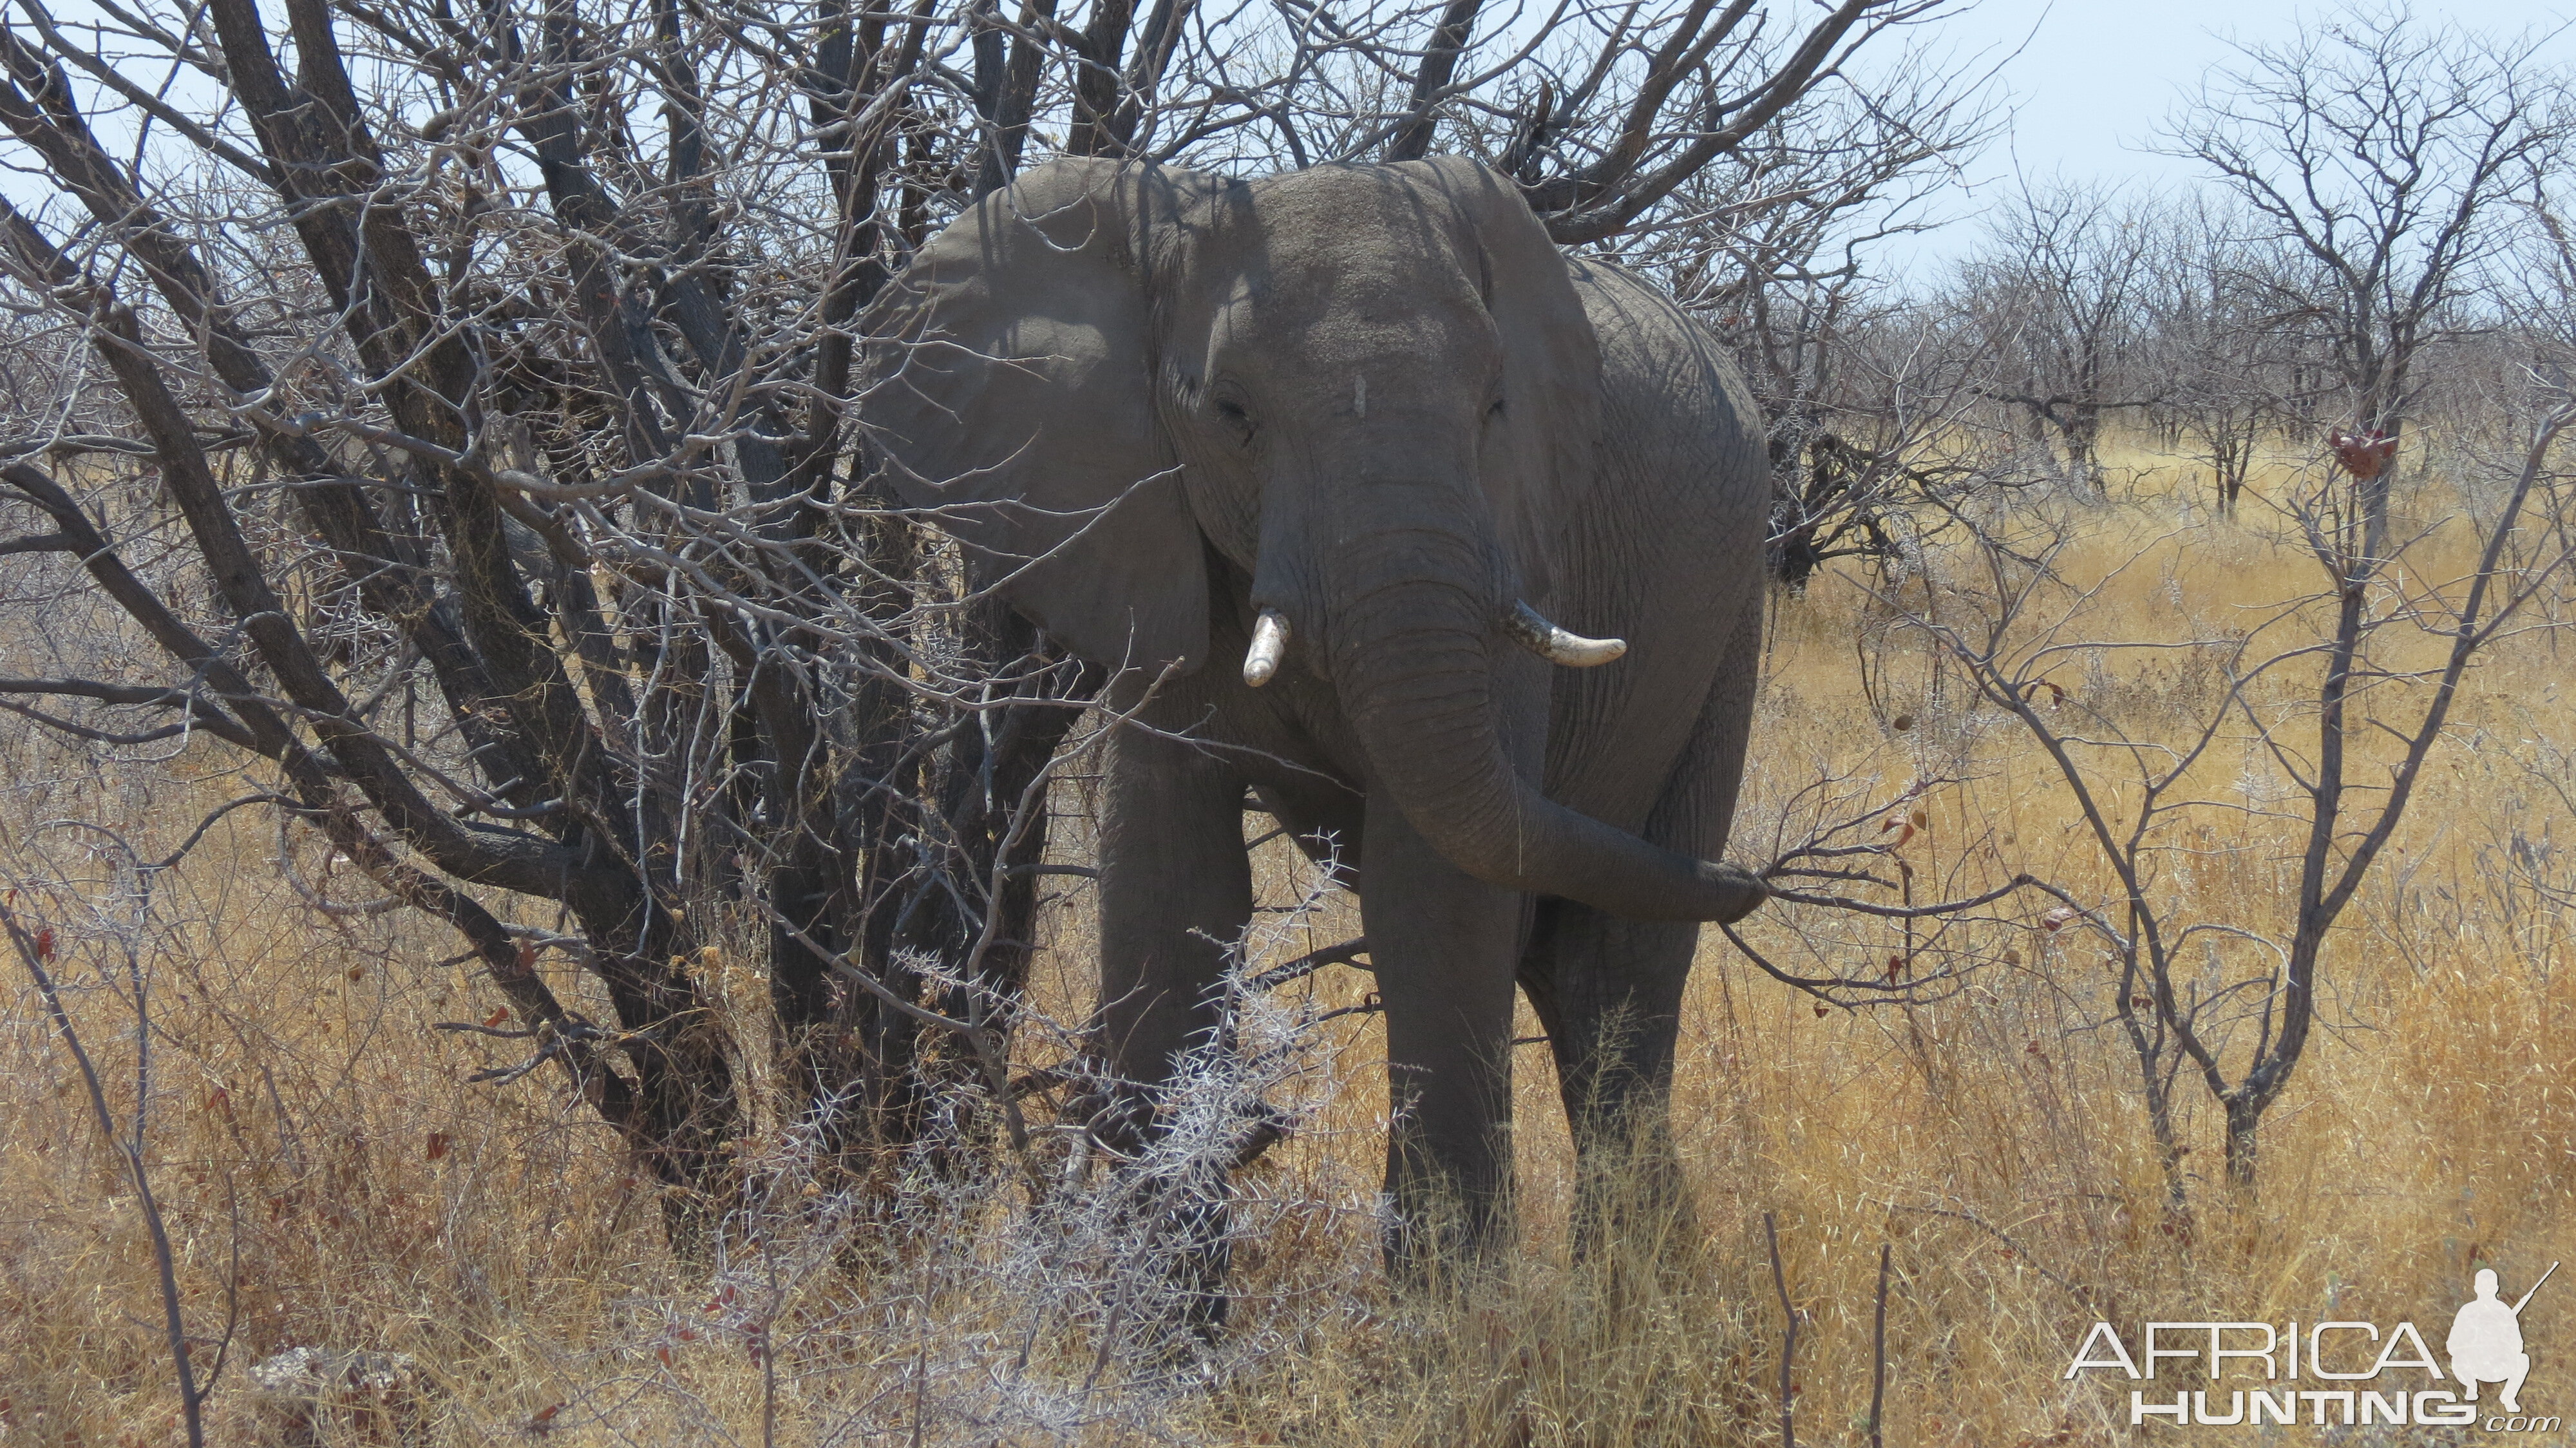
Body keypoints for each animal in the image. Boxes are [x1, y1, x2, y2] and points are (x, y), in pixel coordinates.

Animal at [860, 149, 1772, 1273]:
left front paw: (1451, 1304)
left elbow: (1433, 896)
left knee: (1621, 963)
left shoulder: (1517, 542)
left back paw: (1636, 1285)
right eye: (1231, 412)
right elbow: (1168, 880)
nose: (1757, 881)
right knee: (1574, 954)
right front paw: (1160, 1305)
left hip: (1732, 611)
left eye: (1497, 406)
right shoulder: (1146, 534)